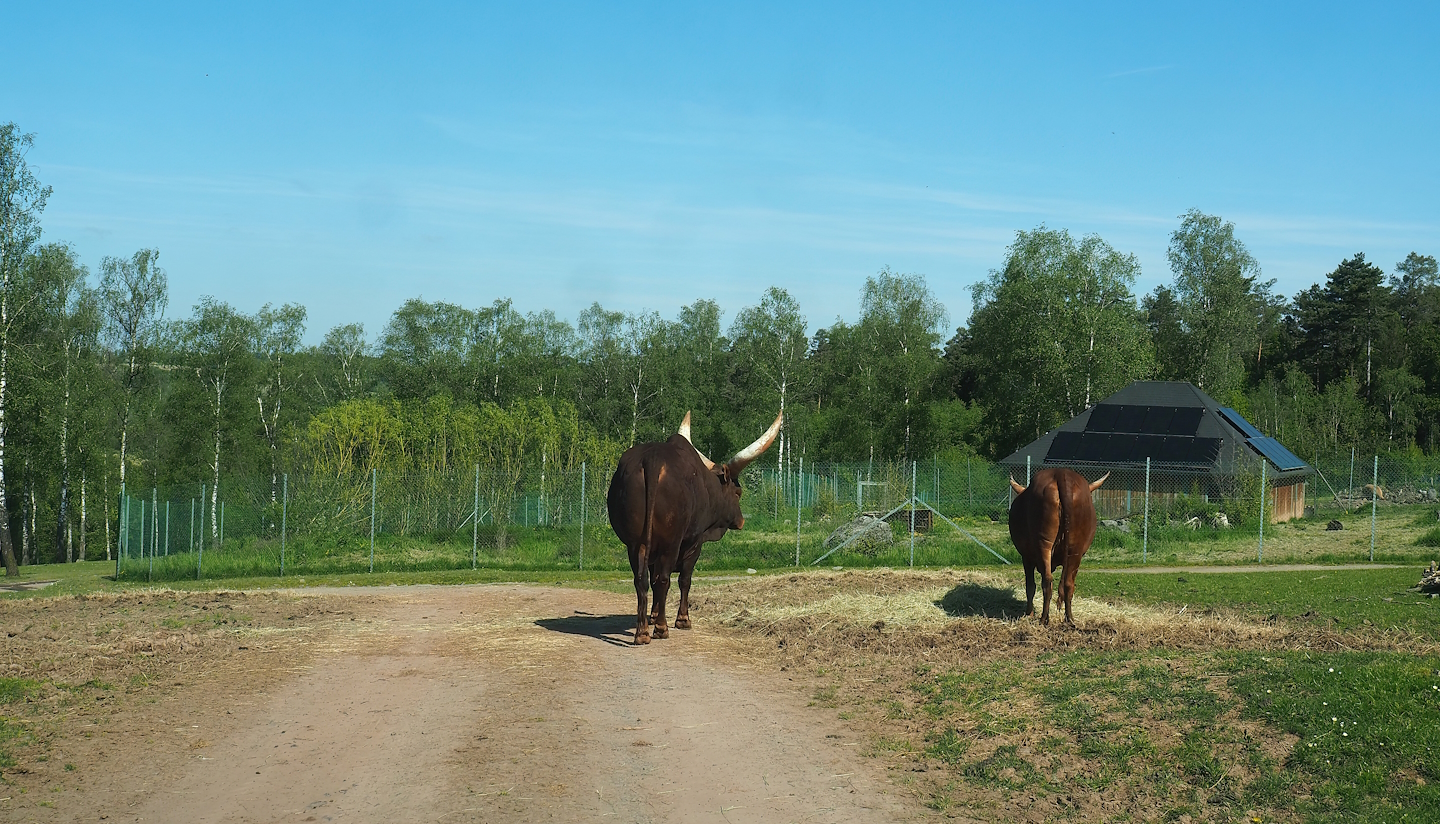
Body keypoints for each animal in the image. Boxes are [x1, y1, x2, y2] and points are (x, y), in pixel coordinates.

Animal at [607, 411, 781, 645]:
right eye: (738, 492)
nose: (741, 521)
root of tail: (651, 460)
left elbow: (653, 578)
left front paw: (653, 616)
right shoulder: (695, 543)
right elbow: (684, 580)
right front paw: (682, 619)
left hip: (636, 545)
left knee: (641, 581)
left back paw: (642, 632)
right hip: (670, 543)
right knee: (664, 580)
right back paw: (661, 628)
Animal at [1008, 468, 1109, 626]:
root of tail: (1061, 473)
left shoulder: (1026, 557)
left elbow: (1030, 586)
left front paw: (1029, 613)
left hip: (1044, 544)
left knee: (1047, 581)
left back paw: (1044, 618)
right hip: (1075, 549)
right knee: (1068, 584)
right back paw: (1069, 618)